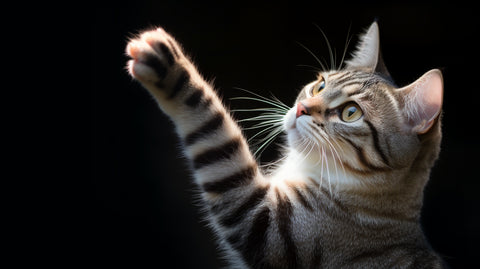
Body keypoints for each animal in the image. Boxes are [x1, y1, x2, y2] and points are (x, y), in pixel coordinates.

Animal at [124, 22, 446, 266]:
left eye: (350, 112)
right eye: (319, 85)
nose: (302, 108)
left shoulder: (264, 222)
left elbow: (213, 129)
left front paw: (171, 66)